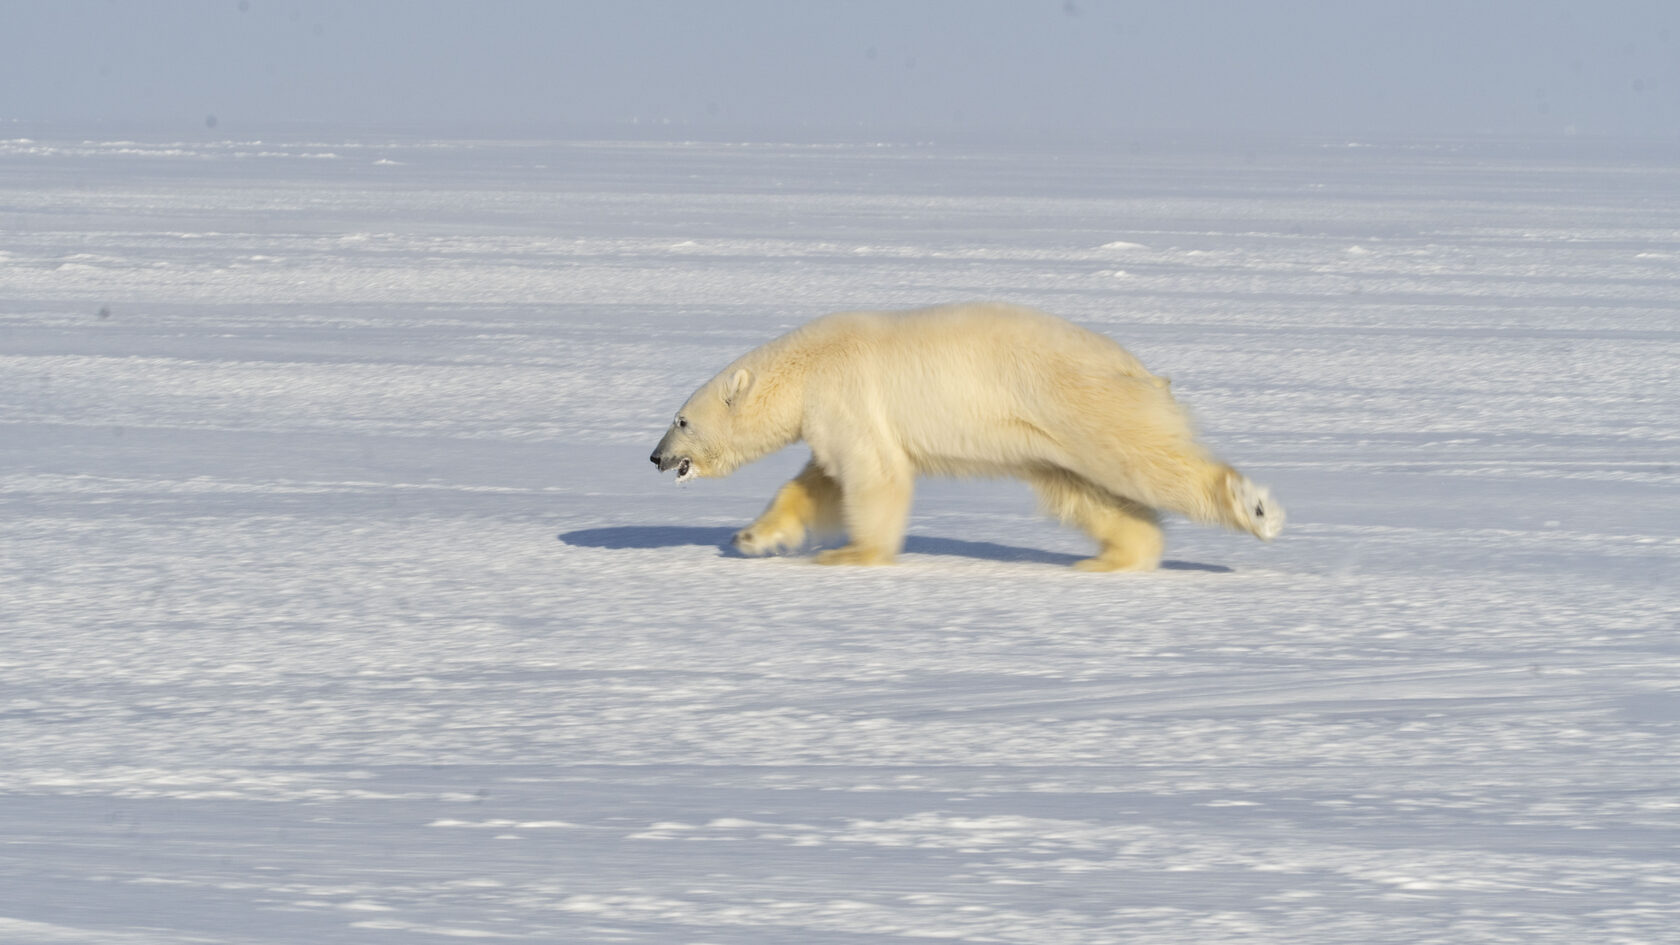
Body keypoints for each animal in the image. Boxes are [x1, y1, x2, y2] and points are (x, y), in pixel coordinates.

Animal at [648, 300, 1276, 564]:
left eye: (681, 419)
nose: (655, 457)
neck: (805, 368)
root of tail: (1138, 368)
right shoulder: (834, 415)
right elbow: (817, 483)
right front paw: (750, 538)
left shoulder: (847, 396)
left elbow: (874, 476)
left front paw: (853, 554)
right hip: (1049, 440)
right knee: (1087, 494)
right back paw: (1113, 558)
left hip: (1079, 401)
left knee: (1142, 458)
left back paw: (1256, 507)